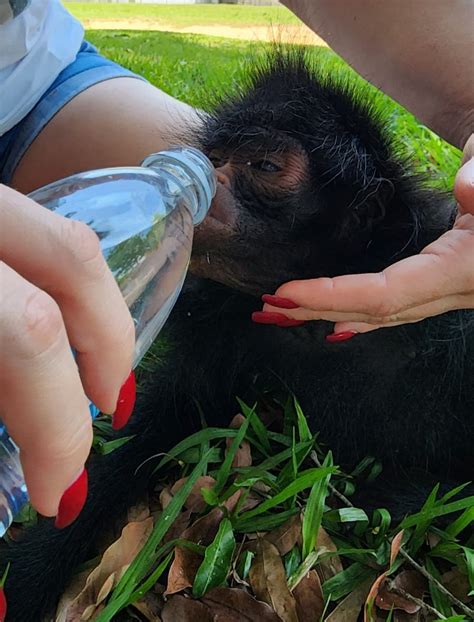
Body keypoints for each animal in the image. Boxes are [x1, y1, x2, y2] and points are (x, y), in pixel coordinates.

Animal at [3, 51, 474, 620]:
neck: (311, 328)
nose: (209, 175)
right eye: (218, 157)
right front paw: (26, 575)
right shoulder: (222, 328)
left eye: (264, 167)